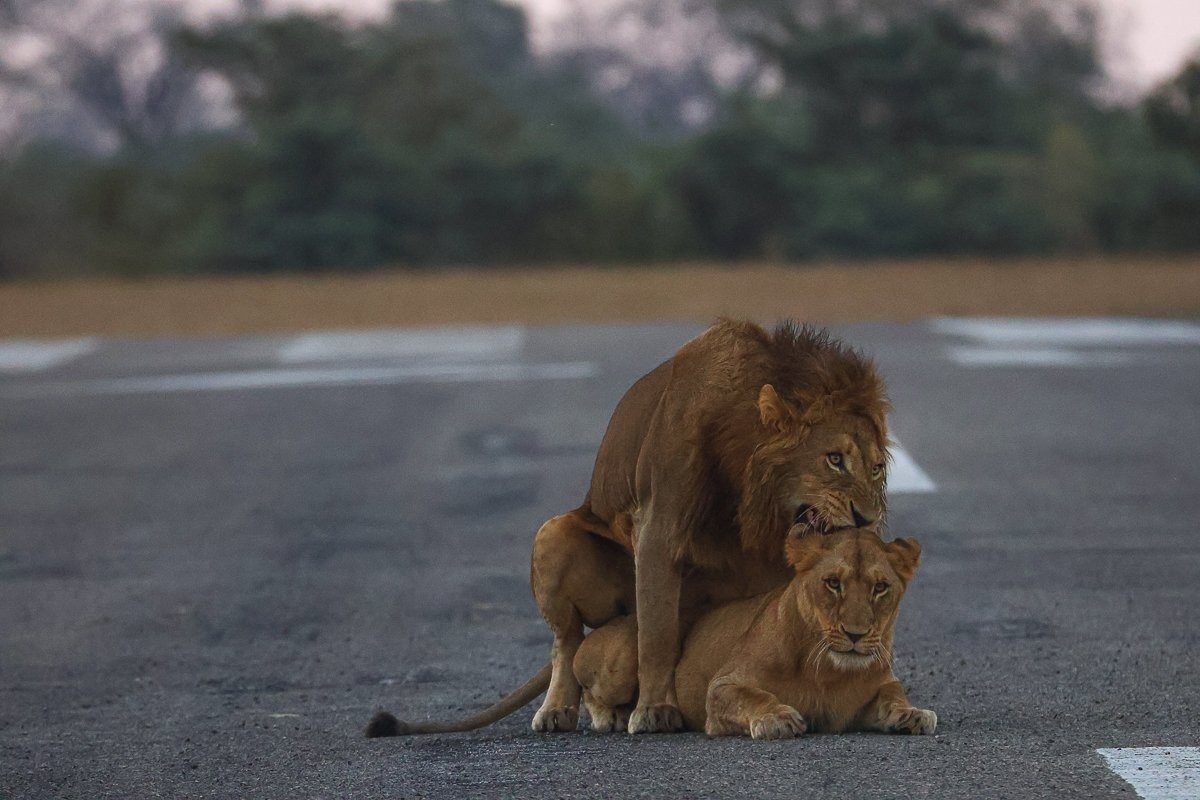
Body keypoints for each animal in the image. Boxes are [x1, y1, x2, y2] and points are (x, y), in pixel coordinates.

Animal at [364, 529, 933, 740]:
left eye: (881, 588)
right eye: (832, 583)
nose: (857, 634)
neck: (829, 667)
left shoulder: (872, 689)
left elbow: (892, 696)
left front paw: (912, 714)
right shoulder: (721, 689)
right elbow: (748, 697)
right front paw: (778, 719)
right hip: (630, 650)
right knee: (585, 680)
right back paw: (614, 717)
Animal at [528, 319, 891, 733]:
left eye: (876, 468)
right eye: (834, 459)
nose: (868, 518)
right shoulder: (658, 529)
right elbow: (656, 633)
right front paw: (654, 709)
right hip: (553, 534)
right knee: (568, 644)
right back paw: (563, 710)